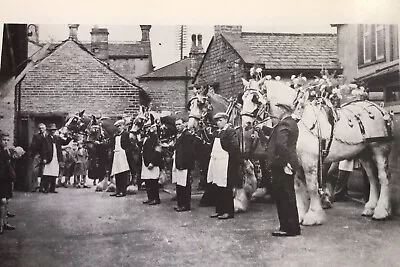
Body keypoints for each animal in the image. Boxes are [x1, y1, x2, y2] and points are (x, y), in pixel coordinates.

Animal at [241, 76, 394, 225]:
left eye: (255, 99)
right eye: (243, 98)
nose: (245, 124)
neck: (298, 119)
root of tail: (380, 109)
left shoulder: (310, 162)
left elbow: (312, 187)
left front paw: (313, 216)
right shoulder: (296, 161)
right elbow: (298, 187)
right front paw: (300, 215)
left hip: (379, 149)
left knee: (383, 177)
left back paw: (381, 211)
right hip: (364, 153)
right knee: (372, 178)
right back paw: (370, 208)